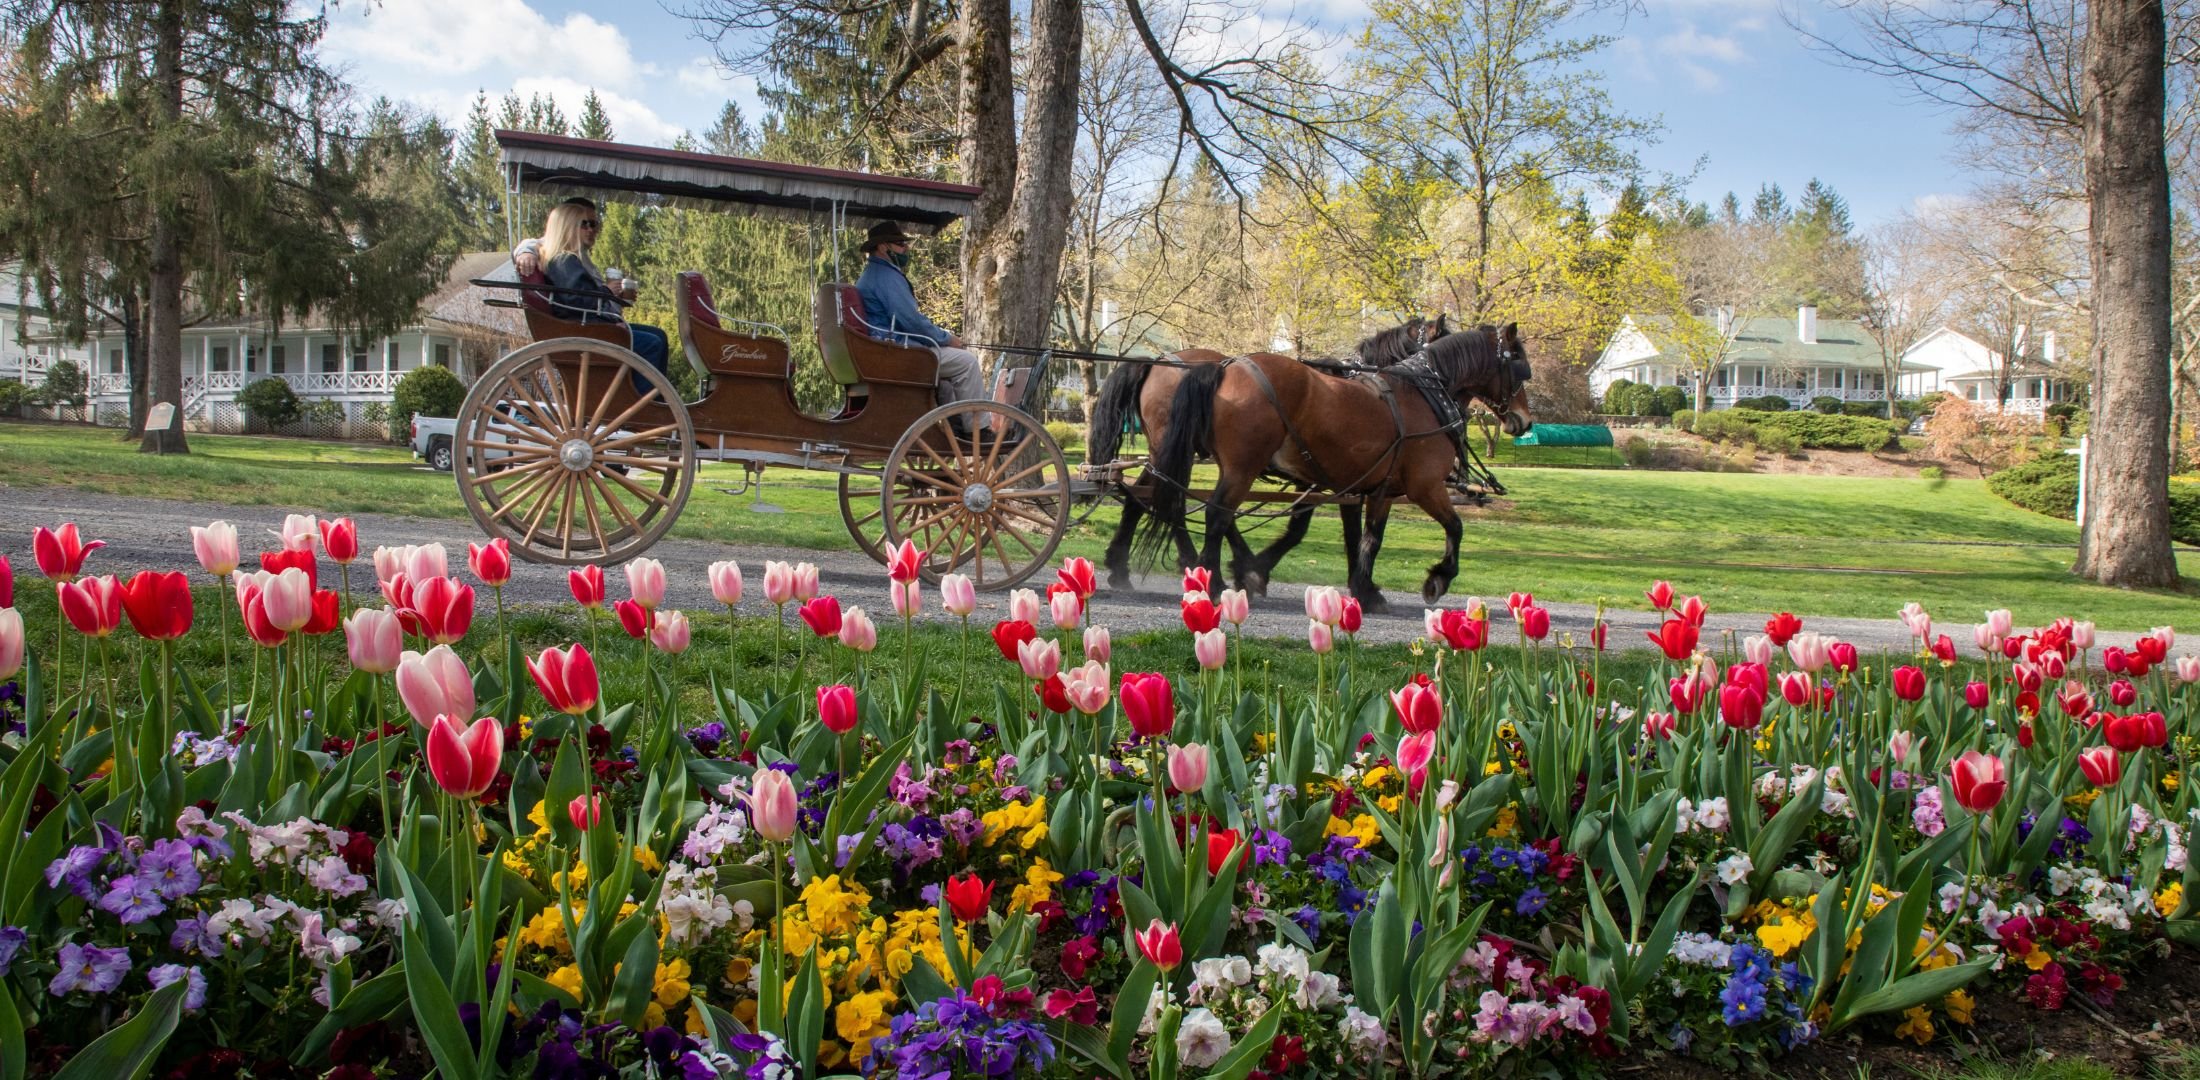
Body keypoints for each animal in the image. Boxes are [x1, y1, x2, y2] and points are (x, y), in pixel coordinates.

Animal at [1082, 316, 1443, 593]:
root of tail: (1154, 364)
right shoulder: (1333, 477)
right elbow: (1327, 529)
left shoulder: (1322, 476)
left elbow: (1316, 526)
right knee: (1179, 503)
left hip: (1169, 453)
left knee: (1146, 498)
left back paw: (1123, 566)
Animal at [1135, 321, 1531, 607]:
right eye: (1521, 369)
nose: (1523, 421)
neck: (1423, 395)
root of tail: (1224, 366)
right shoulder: (1424, 487)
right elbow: (1453, 528)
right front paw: (1437, 578)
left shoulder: (1370, 489)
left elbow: (1364, 538)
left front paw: (1363, 588)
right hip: (1239, 467)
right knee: (1214, 513)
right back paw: (1212, 581)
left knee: (1178, 502)